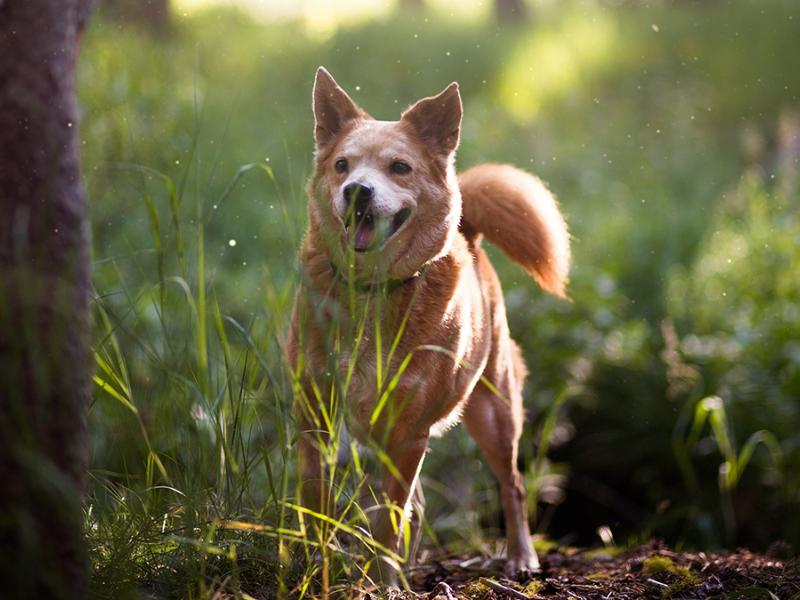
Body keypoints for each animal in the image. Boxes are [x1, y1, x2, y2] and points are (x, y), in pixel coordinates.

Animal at [290, 67, 572, 584]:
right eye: (342, 165)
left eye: (399, 167)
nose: (357, 190)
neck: (373, 291)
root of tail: (470, 234)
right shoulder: (315, 411)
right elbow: (316, 497)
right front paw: (315, 564)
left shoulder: (407, 431)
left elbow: (389, 518)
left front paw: (380, 581)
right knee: (417, 504)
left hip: (494, 412)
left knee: (513, 485)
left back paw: (520, 556)